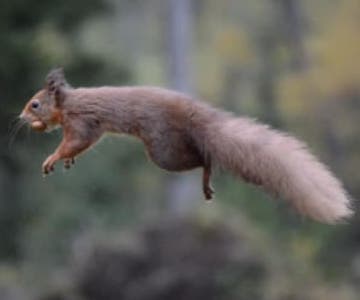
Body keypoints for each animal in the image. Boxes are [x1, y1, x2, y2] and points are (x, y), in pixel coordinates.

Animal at [19, 68, 352, 223]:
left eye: (35, 104)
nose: (21, 117)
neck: (67, 103)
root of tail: (195, 115)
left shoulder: (82, 123)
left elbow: (74, 142)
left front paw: (52, 158)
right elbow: (79, 148)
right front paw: (66, 161)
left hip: (163, 151)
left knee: (203, 157)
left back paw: (206, 176)